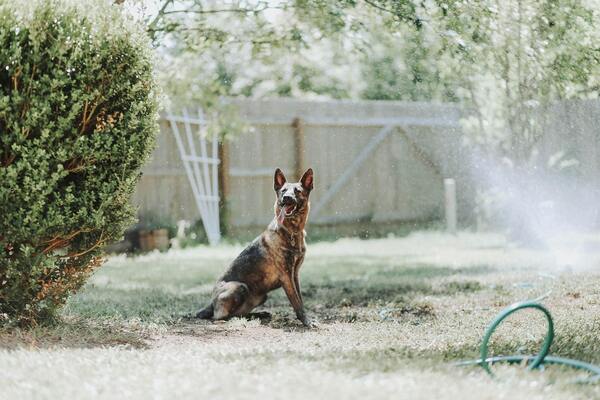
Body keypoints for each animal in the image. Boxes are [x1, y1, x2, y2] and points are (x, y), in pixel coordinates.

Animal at [196, 167, 318, 326]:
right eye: (283, 191)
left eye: (297, 191)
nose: (286, 198)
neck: (291, 231)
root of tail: (211, 303)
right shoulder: (286, 276)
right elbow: (296, 302)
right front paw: (306, 321)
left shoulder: (294, 275)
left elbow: (300, 299)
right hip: (239, 287)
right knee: (222, 316)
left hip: (262, 296)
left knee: (240, 313)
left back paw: (260, 315)